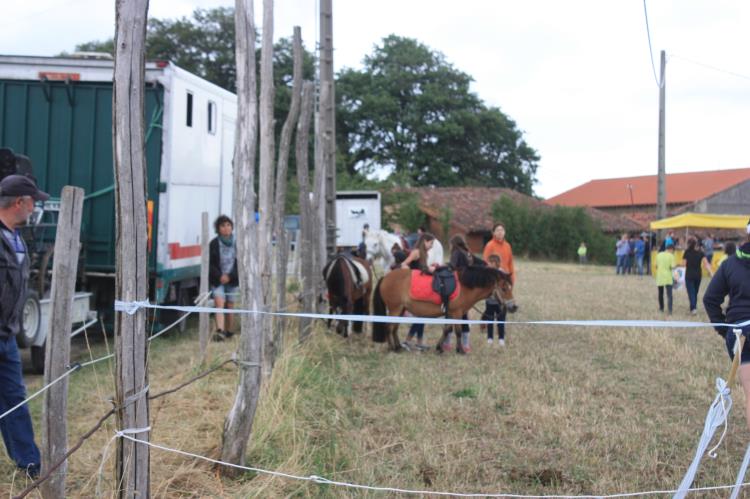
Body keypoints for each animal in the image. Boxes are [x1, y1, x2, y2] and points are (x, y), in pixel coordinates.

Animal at [374, 268, 520, 354]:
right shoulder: (456, 313)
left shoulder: (450, 313)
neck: (466, 286)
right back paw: (391, 348)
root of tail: (385, 277)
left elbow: (447, 330)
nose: (514, 307)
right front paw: (460, 350)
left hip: (401, 309)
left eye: (510, 287)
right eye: (503, 288)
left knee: (394, 328)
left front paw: (440, 348)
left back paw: (398, 346)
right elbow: (458, 331)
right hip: (395, 308)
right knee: (389, 327)